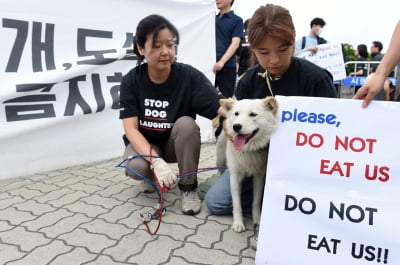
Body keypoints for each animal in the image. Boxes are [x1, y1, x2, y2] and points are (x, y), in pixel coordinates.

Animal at [216, 96, 278, 231]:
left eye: (253, 114)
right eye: (236, 114)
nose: (236, 126)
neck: (248, 150)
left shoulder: (259, 176)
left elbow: (256, 201)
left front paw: (257, 219)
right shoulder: (234, 177)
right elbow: (237, 204)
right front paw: (238, 223)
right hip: (220, 160)